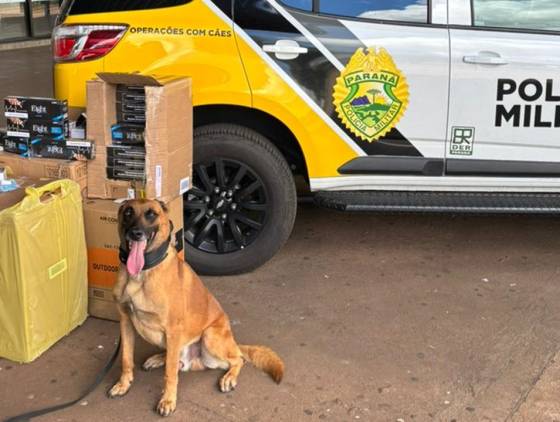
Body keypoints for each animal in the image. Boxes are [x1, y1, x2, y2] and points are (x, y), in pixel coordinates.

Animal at [108, 200, 284, 416]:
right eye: (128, 212)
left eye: (151, 214)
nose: (135, 233)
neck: (142, 273)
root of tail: (234, 342)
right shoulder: (125, 322)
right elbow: (126, 359)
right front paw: (123, 384)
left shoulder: (173, 329)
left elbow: (169, 374)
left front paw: (168, 400)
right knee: (174, 358)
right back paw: (158, 358)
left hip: (209, 336)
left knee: (238, 359)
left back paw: (229, 377)